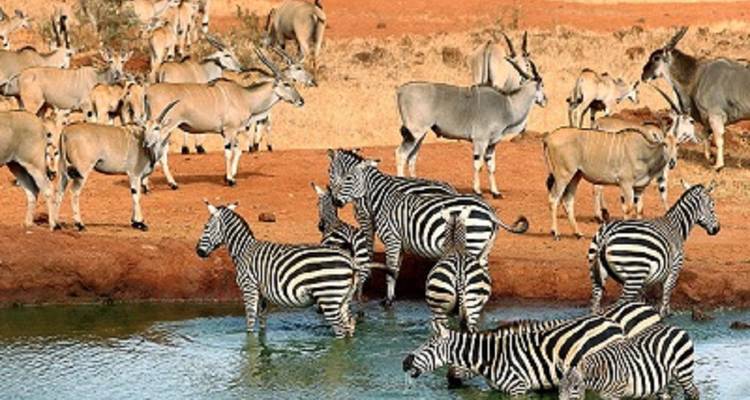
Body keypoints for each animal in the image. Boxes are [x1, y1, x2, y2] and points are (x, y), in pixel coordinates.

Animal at [195, 201, 359, 338]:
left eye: (205, 227)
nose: (198, 252)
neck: (243, 250)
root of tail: (349, 261)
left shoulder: (249, 288)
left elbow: (250, 322)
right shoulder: (262, 294)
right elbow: (262, 322)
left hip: (329, 297)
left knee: (339, 331)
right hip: (343, 299)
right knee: (349, 325)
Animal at [331, 158, 528, 307]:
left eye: (348, 178)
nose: (334, 201)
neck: (382, 200)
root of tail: (489, 211)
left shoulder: (392, 239)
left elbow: (390, 271)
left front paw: (387, 302)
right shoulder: (400, 244)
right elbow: (395, 271)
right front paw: (391, 298)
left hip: (472, 243)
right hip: (484, 247)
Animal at [558, 323, 699, 400]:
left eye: (575, 387)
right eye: (560, 387)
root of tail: (677, 328)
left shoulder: (616, 393)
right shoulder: (604, 396)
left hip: (683, 371)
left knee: (693, 392)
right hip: (664, 379)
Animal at [588, 180, 720, 317]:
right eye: (712, 206)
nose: (717, 229)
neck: (677, 227)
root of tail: (607, 233)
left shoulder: (646, 281)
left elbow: (642, 300)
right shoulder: (674, 269)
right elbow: (665, 298)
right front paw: (663, 314)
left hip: (597, 274)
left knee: (595, 303)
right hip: (634, 274)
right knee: (619, 304)